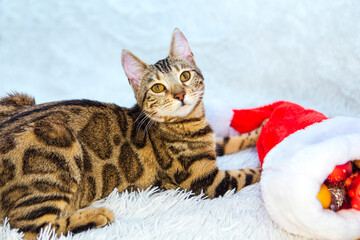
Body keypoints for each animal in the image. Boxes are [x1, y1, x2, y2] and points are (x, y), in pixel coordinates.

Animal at [0, 29, 262, 239]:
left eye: (185, 76)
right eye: (158, 87)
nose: (180, 95)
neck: (190, 123)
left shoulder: (211, 142)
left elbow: (228, 139)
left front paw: (260, 130)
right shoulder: (205, 181)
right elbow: (247, 174)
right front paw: (266, 167)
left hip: (20, 99)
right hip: (57, 138)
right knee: (30, 229)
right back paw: (97, 215)